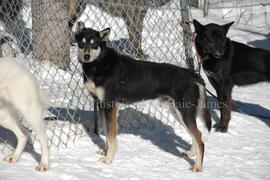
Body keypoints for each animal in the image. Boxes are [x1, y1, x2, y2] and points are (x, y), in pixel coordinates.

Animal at [75, 21, 212, 172]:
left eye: (94, 44)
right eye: (81, 43)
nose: (86, 57)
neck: (100, 63)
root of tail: (193, 75)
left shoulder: (110, 107)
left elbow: (111, 138)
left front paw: (108, 159)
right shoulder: (103, 106)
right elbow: (107, 133)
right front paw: (105, 151)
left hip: (184, 113)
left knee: (199, 138)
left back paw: (197, 167)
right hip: (178, 112)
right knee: (196, 135)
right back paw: (192, 153)